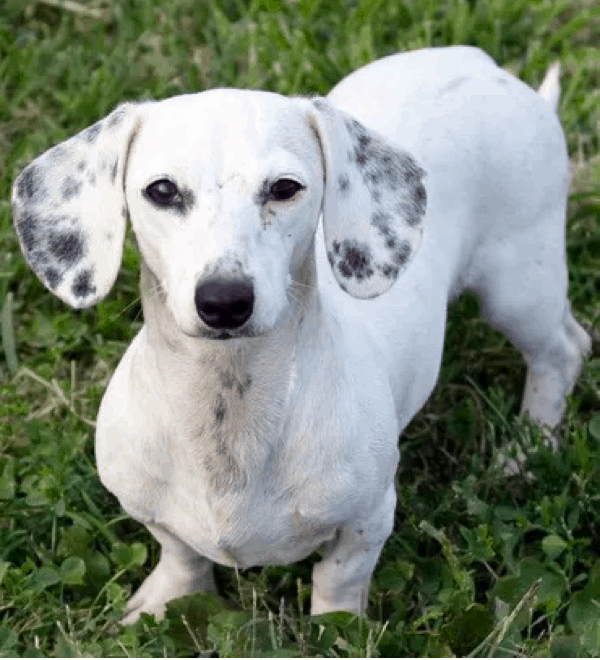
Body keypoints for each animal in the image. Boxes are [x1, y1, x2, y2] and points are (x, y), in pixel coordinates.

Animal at [12, 45, 592, 620]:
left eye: (284, 188)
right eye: (162, 190)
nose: (224, 301)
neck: (231, 409)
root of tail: (490, 70)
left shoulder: (368, 518)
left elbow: (338, 581)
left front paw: (337, 627)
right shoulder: (151, 508)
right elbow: (180, 554)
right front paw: (167, 599)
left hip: (518, 285)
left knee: (562, 352)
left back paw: (526, 451)